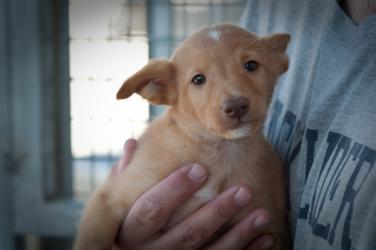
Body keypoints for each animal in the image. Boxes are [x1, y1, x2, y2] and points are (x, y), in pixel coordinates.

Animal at [73, 23, 290, 250]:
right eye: (198, 80)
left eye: (251, 65)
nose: (236, 106)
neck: (218, 150)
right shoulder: (110, 199)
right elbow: (93, 240)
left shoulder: (270, 227)